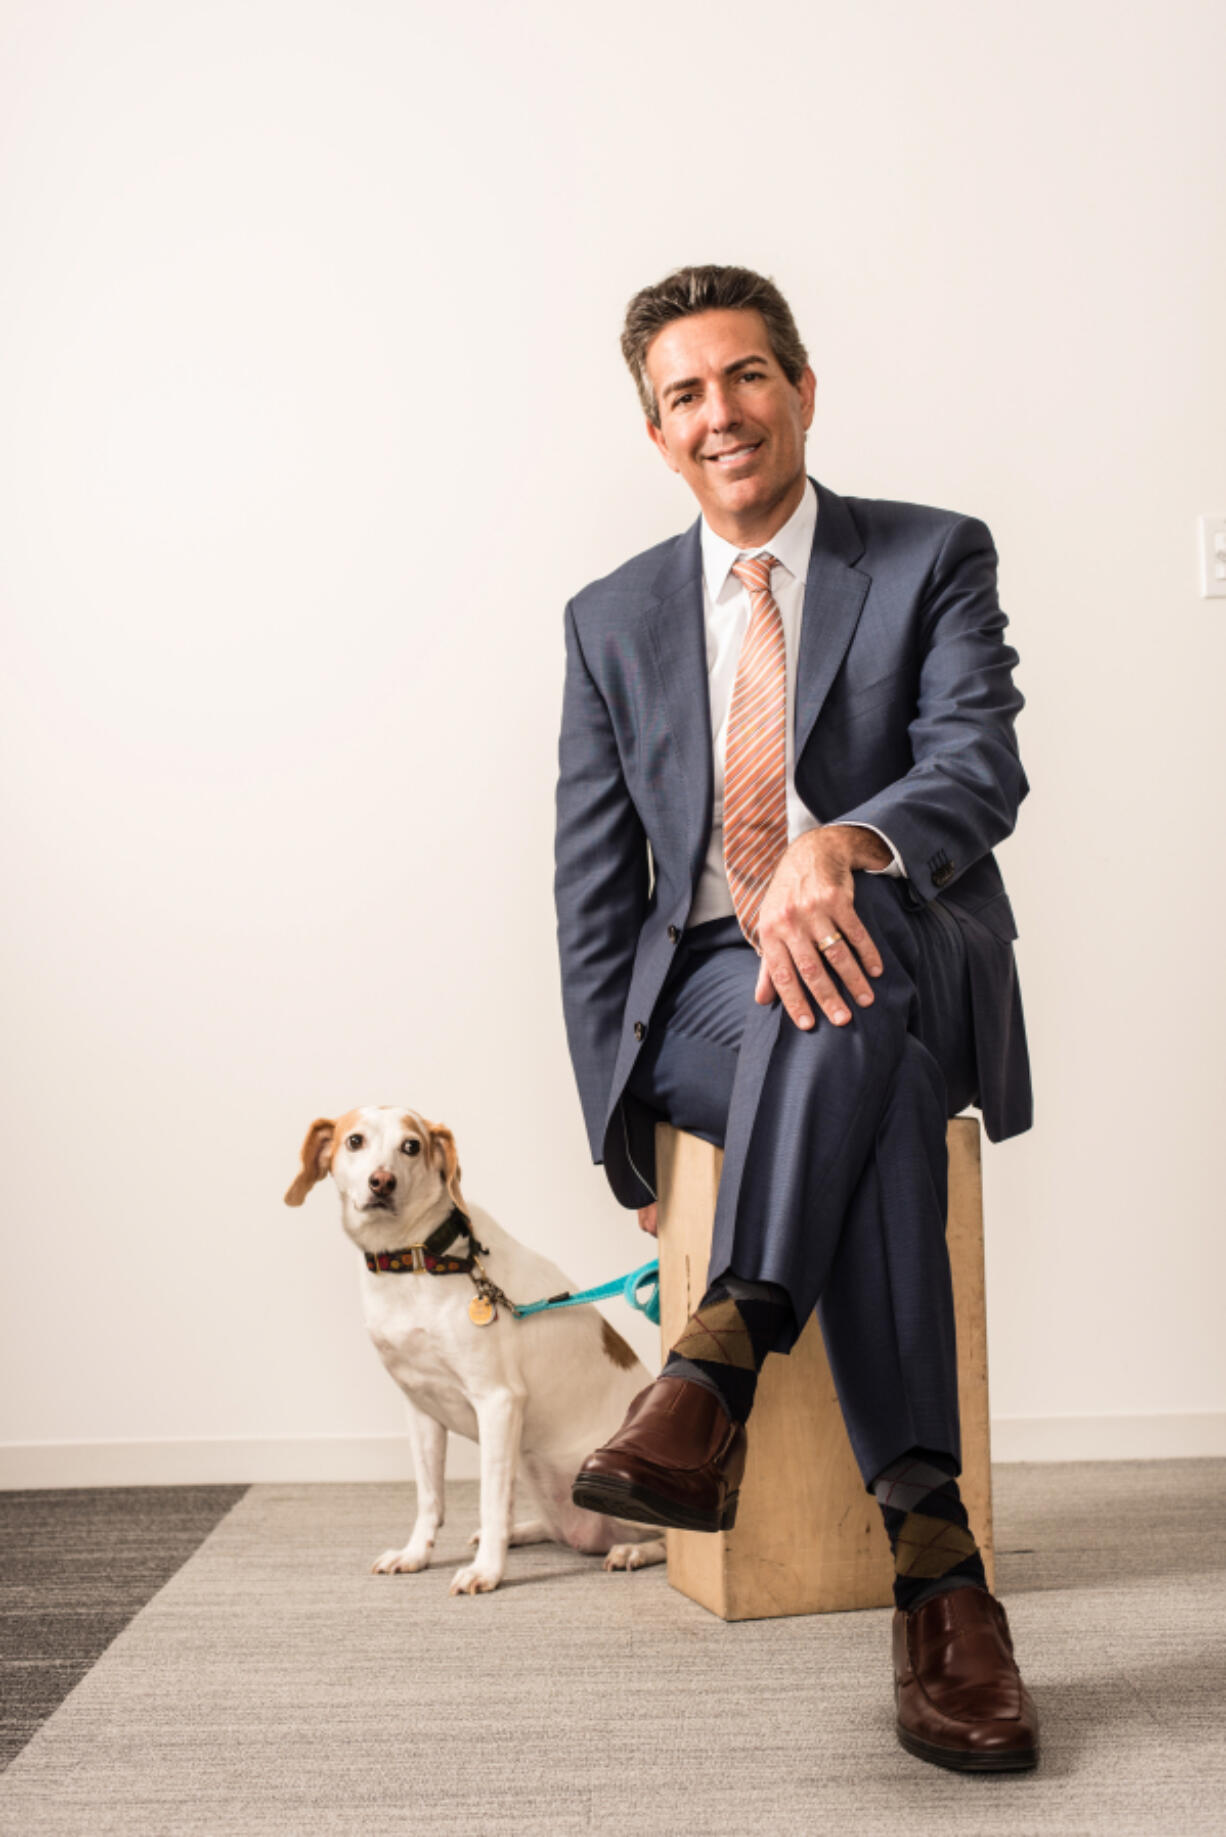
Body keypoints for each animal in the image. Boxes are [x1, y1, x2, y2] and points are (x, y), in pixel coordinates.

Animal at [283, 1102, 665, 1594]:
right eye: (355, 1141)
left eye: (412, 1146)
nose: (382, 1182)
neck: (419, 1261)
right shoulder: (421, 1407)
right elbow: (430, 1498)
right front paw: (415, 1555)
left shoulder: (498, 1402)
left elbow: (489, 1498)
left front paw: (486, 1572)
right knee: (559, 1529)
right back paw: (526, 1531)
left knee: (674, 1538)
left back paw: (632, 1551)